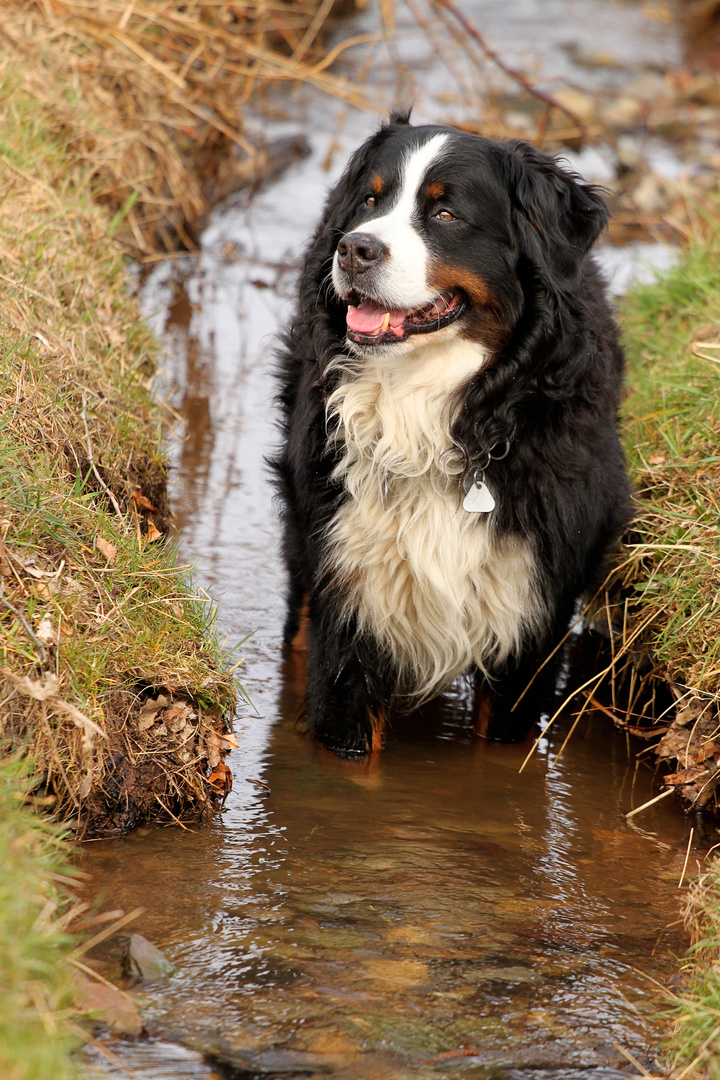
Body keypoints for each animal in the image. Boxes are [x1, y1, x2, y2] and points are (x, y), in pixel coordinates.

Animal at [273, 109, 634, 751]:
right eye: (371, 200)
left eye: (446, 214)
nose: (355, 248)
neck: (428, 409)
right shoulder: (350, 600)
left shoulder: (530, 616)